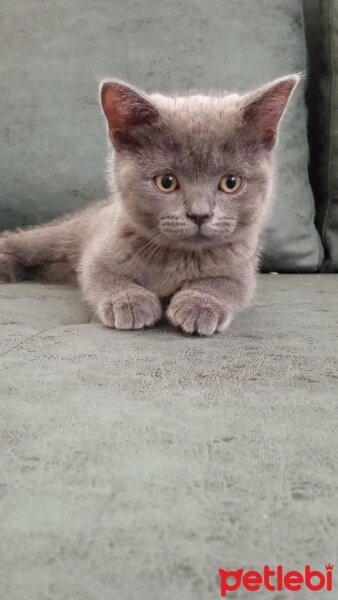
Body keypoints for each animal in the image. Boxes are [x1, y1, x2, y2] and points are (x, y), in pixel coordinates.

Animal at [0, 74, 298, 332]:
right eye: (166, 182)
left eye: (231, 182)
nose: (199, 214)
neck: (180, 257)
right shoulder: (99, 250)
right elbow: (102, 275)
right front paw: (131, 302)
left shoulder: (242, 266)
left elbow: (225, 285)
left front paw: (199, 304)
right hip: (66, 234)